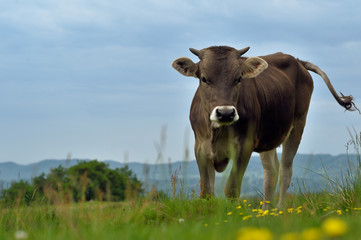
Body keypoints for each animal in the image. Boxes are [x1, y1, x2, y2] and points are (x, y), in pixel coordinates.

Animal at [172, 45, 354, 208]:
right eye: (203, 78)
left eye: (239, 78)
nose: (225, 113)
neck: (218, 131)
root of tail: (297, 60)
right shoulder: (200, 149)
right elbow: (207, 192)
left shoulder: (244, 146)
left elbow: (231, 189)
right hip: (268, 137)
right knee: (271, 172)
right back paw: (266, 212)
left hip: (297, 125)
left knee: (285, 171)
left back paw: (280, 211)